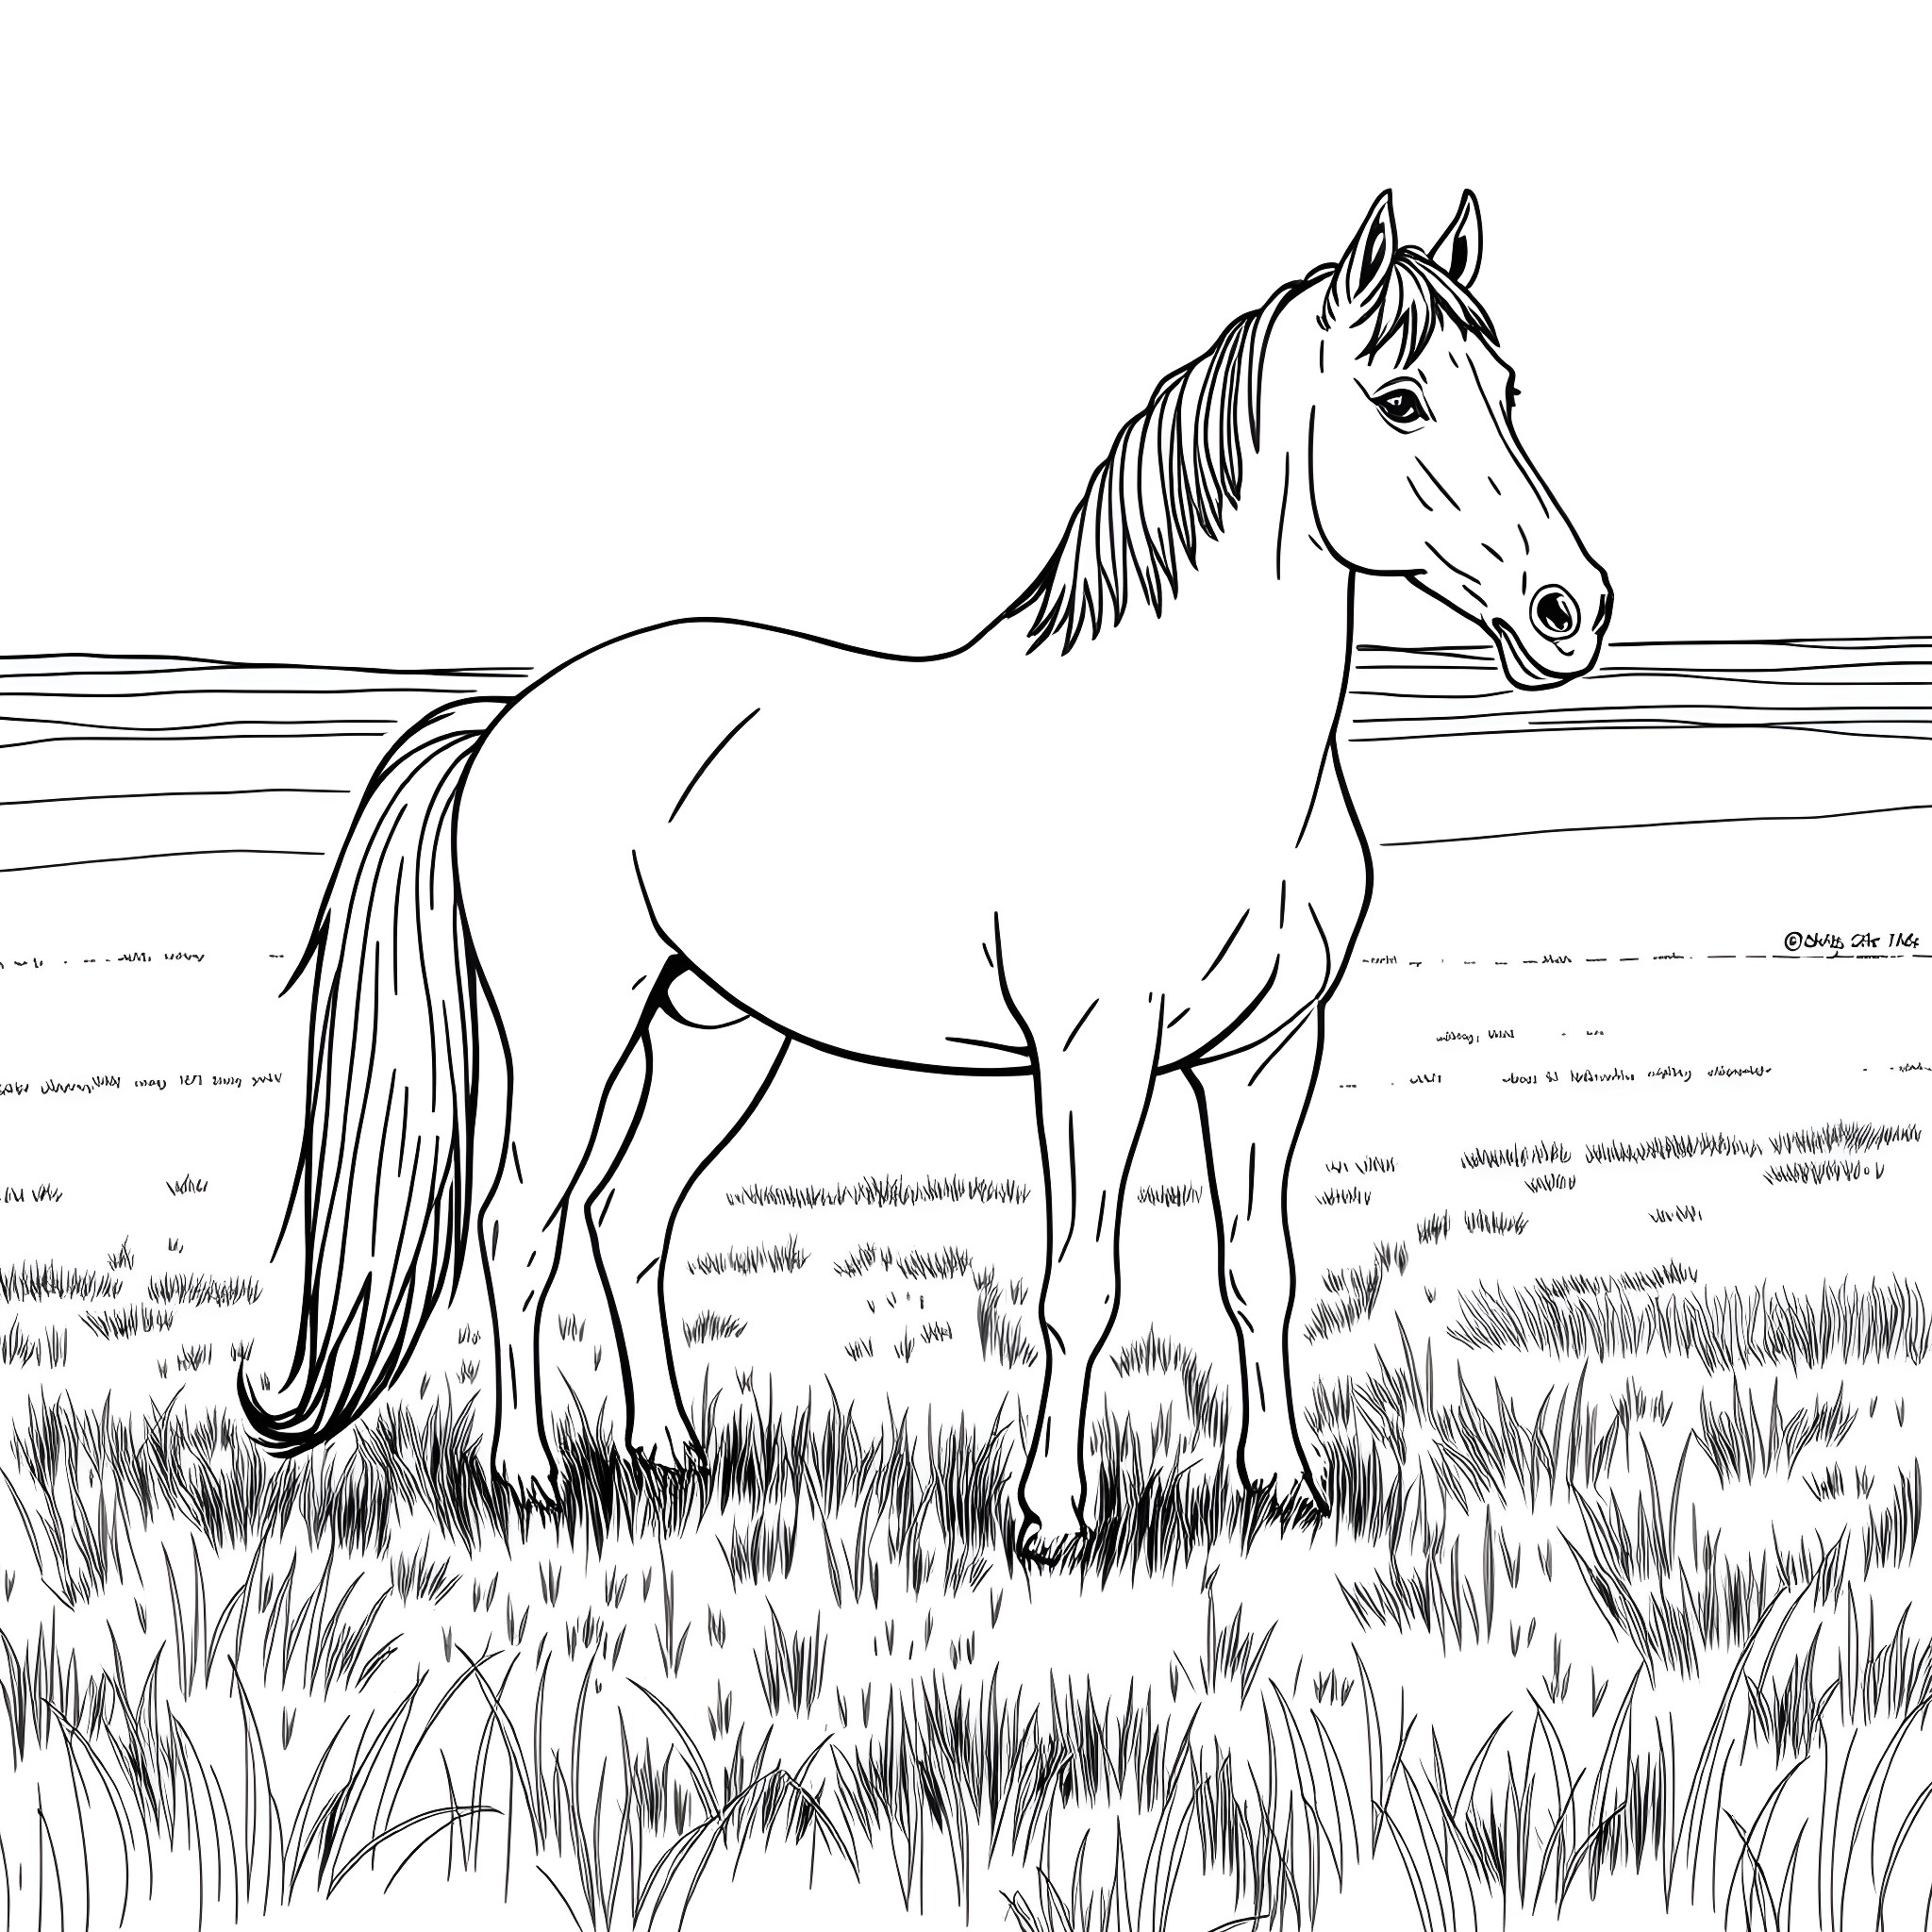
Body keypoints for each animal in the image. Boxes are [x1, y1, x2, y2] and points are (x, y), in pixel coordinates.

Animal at [242, 190, 1610, 1557]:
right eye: (1401, 400)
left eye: (1508, 388)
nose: (1570, 610)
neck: (1180, 743)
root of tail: (510, 718)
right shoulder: (1093, 1053)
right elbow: (1081, 1285)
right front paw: (1052, 1517)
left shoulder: (1266, 1055)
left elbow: (1258, 1272)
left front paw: (1282, 1485)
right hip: (572, 1030)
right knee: (519, 1224)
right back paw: (525, 1474)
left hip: (714, 1036)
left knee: (625, 1221)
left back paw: (669, 1450)